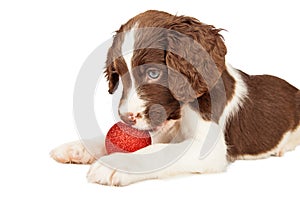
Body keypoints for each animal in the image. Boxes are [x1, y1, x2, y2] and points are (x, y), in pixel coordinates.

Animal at [51, 10, 300, 186]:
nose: (125, 118)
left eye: (153, 73)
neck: (179, 113)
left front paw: (116, 164)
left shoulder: (209, 149)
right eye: (119, 75)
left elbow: (159, 151)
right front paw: (77, 149)